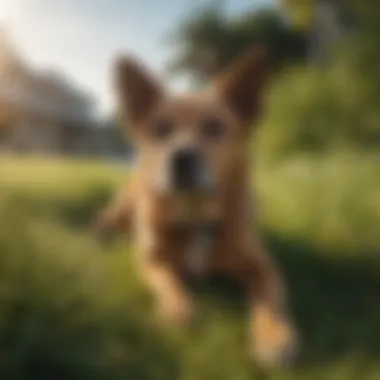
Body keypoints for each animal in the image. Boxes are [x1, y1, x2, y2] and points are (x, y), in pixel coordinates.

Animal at [98, 46, 300, 366]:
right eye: (161, 128)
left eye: (214, 127)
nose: (182, 157)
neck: (195, 214)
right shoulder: (152, 259)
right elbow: (168, 281)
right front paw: (176, 310)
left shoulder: (263, 266)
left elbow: (269, 299)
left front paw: (274, 336)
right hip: (122, 206)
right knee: (109, 222)